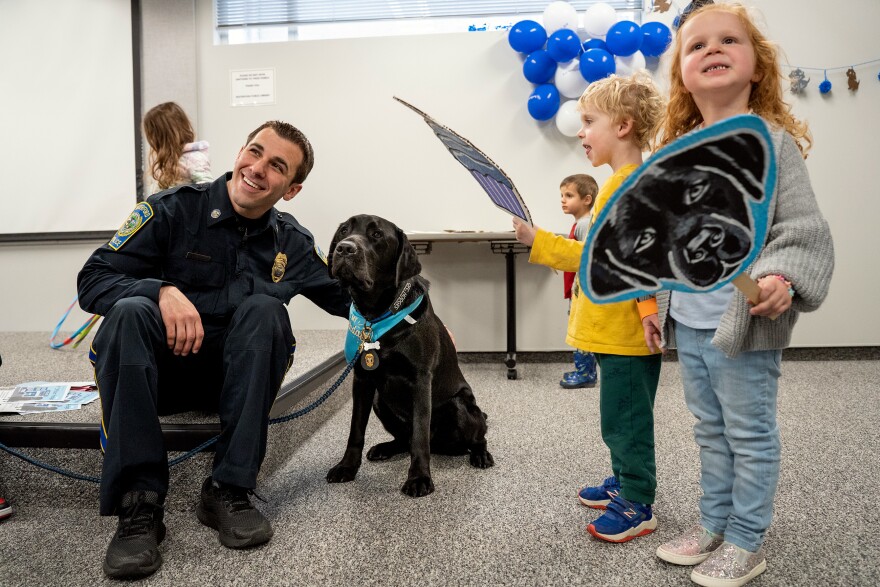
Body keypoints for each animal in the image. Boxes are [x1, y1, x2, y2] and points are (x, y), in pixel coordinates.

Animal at [324, 214, 492, 498]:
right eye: (344, 230)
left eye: (377, 235)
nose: (345, 248)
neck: (375, 315)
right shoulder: (362, 381)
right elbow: (355, 430)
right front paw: (346, 467)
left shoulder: (421, 380)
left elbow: (419, 435)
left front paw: (419, 478)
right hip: (380, 400)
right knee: (403, 439)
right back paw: (384, 448)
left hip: (460, 406)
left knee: (479, 435)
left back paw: (481, 454)